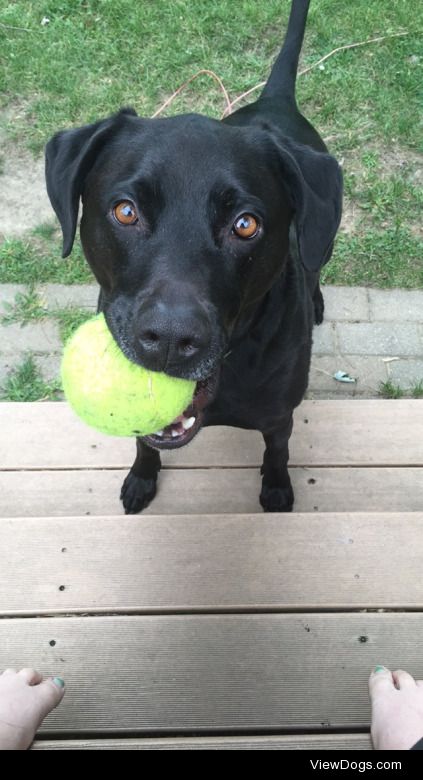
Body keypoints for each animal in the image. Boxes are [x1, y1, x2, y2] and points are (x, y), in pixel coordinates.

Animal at [44, 0, 342, 516]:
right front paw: (141, 478)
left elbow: (278, 451)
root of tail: (275, 100)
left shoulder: (279, 416)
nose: (168, 339)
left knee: (315, 261)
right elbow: (144, 443)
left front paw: (276, 490)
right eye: (126, 211)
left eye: (245, 224)